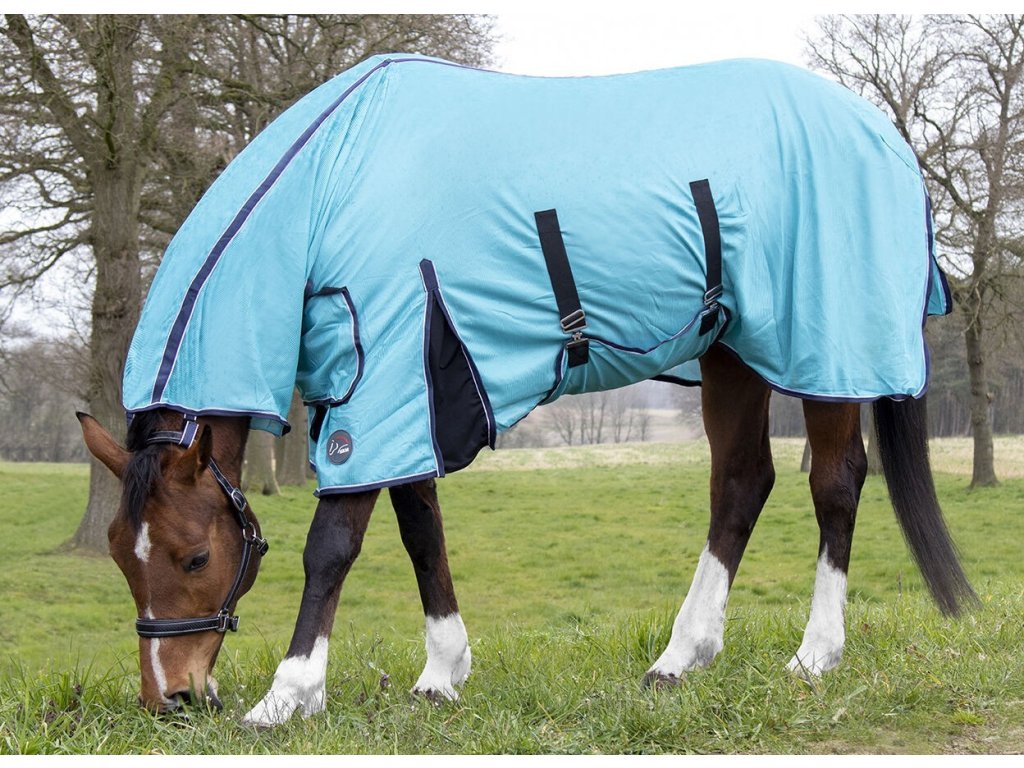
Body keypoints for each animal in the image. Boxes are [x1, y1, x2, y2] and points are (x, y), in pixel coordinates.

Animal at [77, 55, 976, 726]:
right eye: (121, 553)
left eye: (195, 555)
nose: (172, 698)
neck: (330, 187)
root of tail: (885, 134)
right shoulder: (404, 393)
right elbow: (421, 532)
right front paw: (441, 674)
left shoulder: (383, 378)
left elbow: (331, 545)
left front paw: (287, 696)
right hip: (732, 353)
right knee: (741, 483)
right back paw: (678, 660)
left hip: (828, 347)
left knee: (835, 483)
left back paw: (814, 656)